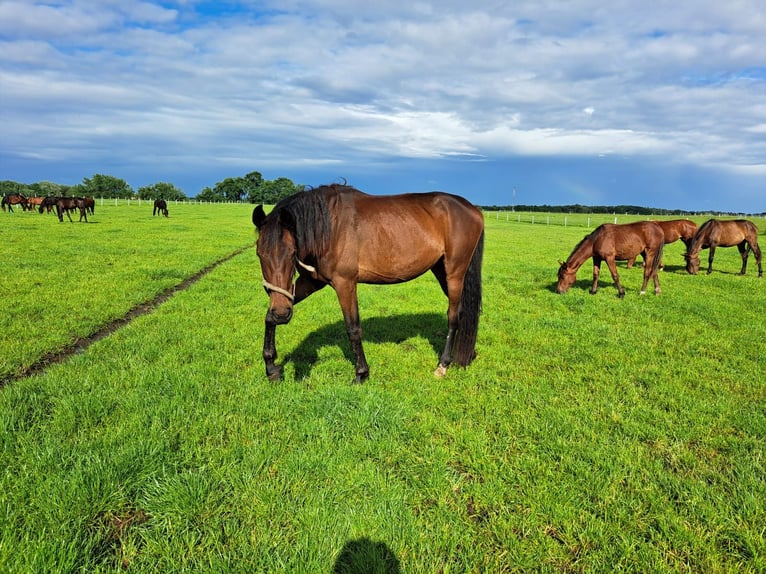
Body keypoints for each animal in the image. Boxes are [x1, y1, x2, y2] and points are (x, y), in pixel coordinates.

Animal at [254, 182, 486, 384]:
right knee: (463, 312)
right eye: (259, 254)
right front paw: (271, 367)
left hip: (455, 272)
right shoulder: (310, 282)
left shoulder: (345, 283)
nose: (282, 313)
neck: (329, 227)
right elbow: (268, 318)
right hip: (440, 269)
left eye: (291, 252)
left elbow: (353, 328)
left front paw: (361, 374)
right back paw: (467, 354)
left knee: (453, 316)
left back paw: (443, 365)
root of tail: (473, 209)